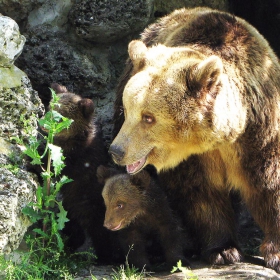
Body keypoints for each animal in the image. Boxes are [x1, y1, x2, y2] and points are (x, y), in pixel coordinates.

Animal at [110, 7, 280, 274]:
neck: (222, 137)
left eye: (148, 117)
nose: (117, 150)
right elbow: (201, 193)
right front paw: (222, 250)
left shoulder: (260, 131)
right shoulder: (194, 158)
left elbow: (269, 184)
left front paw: (275, 254)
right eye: (128, 111)